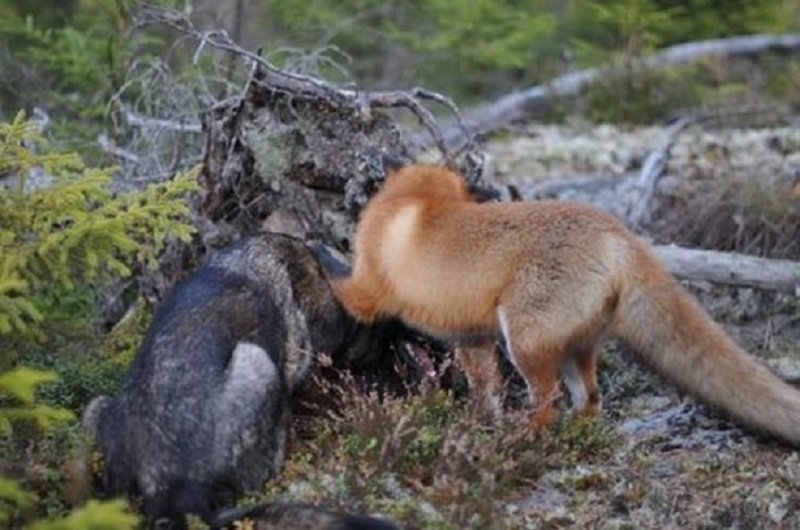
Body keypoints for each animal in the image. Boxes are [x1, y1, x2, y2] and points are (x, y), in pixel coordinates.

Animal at [332, 163, 800, 440]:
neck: (410, 201)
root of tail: (617, 230)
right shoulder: (473, 339)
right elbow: (486, 390)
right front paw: (481, 423)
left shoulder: (368, 290)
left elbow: (341, 284)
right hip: (576, 346)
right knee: (590, 399)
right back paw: (573, 436)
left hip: (524, 341)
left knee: (548, 401)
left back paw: (528, 435)